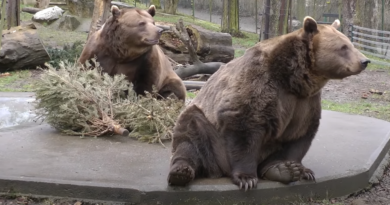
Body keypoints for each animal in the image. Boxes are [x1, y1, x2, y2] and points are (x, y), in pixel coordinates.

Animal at [167, 16, 368, 191]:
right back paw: (181, 172)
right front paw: (247, 178)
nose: (364, 61)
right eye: (343, 47)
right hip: (208, 131)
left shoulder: (305, 102)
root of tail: (219, 169)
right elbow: (243, 124)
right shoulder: (259, 83)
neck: (295, 79)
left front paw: (295, 169)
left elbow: (299, 135)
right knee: (190, 137)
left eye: (351, 44)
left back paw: (278, 170)